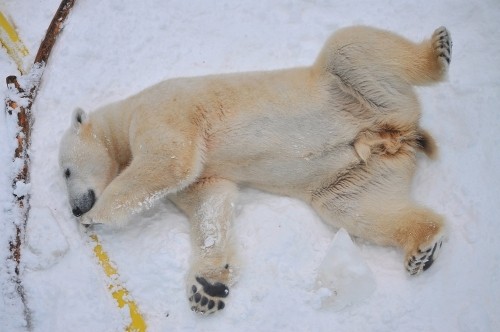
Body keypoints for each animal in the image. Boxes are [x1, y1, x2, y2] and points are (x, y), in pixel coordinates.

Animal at [59, 26, 454, 314]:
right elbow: (209, 201)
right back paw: (422, 250)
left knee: (350, 46)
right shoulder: (200, 175)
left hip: (352, 92)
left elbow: (167, 161)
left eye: (64, 171)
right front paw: (207, 289)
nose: (75, 208)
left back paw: (438, 49)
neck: (124, 116)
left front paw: (94, 216)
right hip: (353, 173)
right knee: (351, 207)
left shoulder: (160, 110)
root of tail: (399, 133)